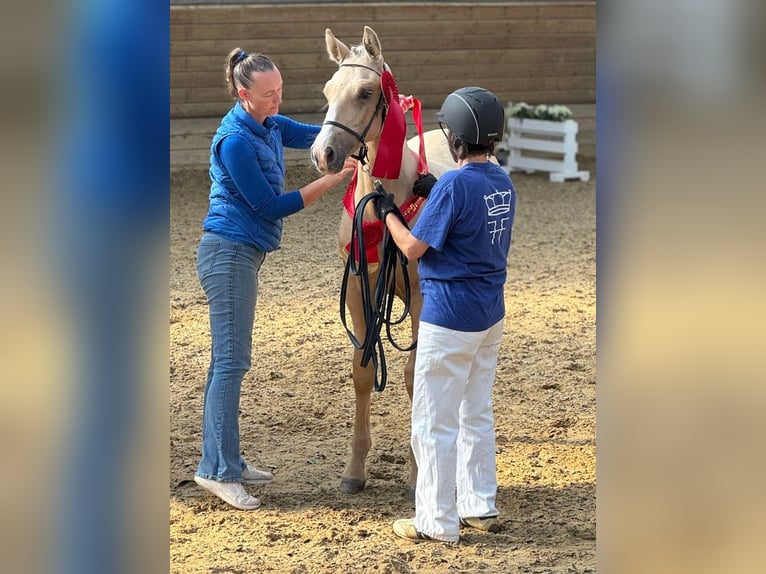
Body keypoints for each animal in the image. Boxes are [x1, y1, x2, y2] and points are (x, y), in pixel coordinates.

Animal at [310, 24, 456, 498]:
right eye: (328, 90)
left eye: (365, 91)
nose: (323, 154)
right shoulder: (359, 288)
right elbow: (363, 370)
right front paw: (354, 471)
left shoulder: (424, 294)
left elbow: (414, 374)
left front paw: (416, 473)